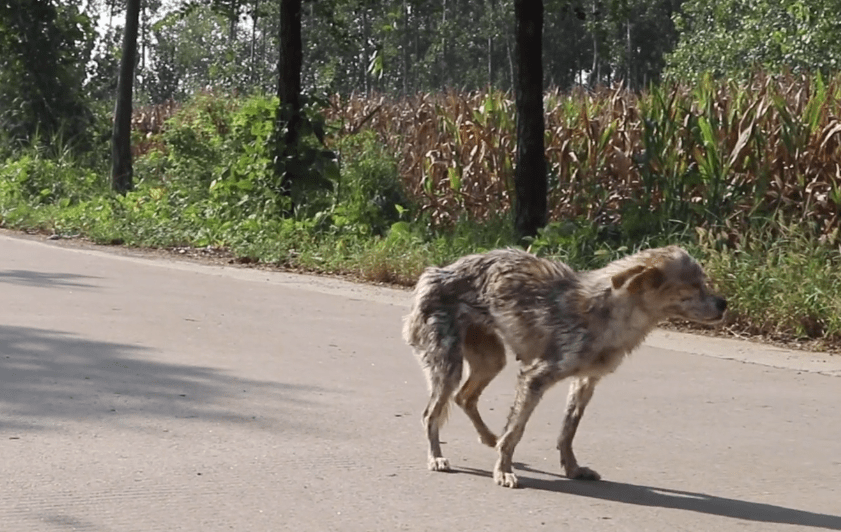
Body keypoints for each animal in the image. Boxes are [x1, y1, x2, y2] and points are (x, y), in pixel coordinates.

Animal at [404, 245, 724, 486]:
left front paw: (573, 469)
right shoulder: (535, 378)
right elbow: (516, 432)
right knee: (431, 414)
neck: (612, 314)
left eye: (703, 282)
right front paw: (504, 470)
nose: (724, 304)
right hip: (449, 366)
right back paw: (437, 457)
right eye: (694, 286)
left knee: (464, 397)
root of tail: (434, 272)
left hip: (491, 360)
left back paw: (489, 437)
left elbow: (567, 432)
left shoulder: (585, 382)